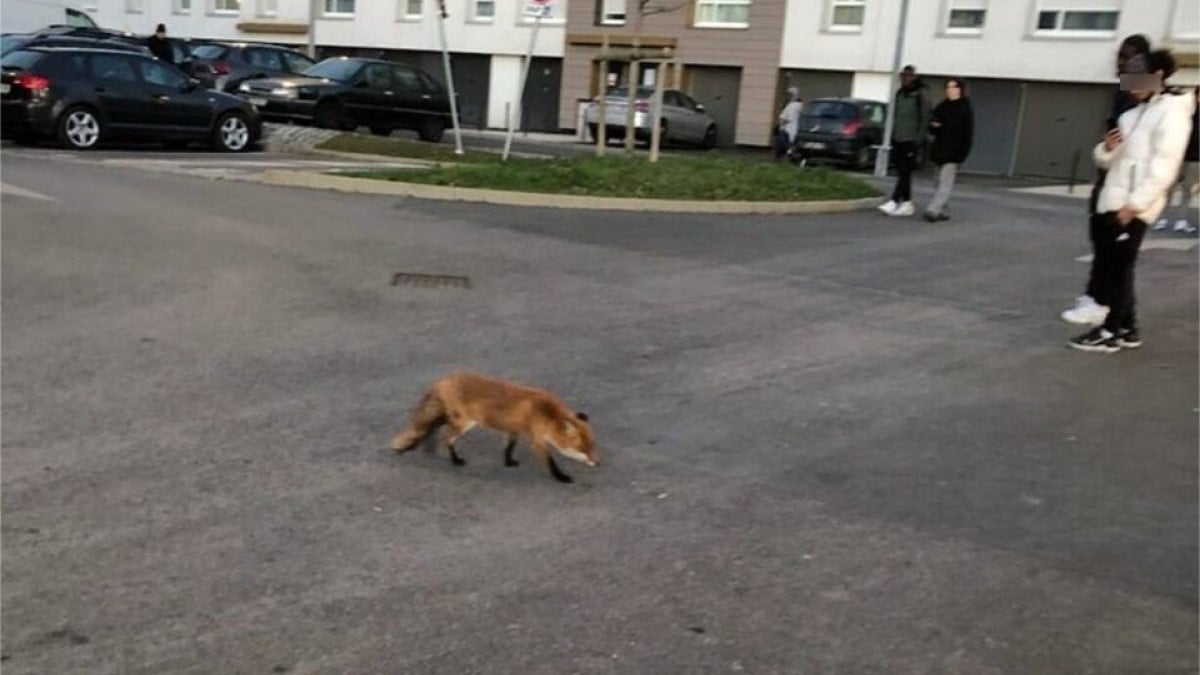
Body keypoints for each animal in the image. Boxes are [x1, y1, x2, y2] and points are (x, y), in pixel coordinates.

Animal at [391, 369, 597, 480]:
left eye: (593, 447)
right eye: (583, 450)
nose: (597, 463)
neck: (545, 412)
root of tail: (444, 379)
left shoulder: (514, 429)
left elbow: (508, 448)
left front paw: (507, 462)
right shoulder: (536, 440)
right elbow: (550, 462)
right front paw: (561, 477)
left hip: (454, 419)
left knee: (432, 428)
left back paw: (427, 446)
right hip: (463, 423)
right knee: (445, 437)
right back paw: (454, 459)